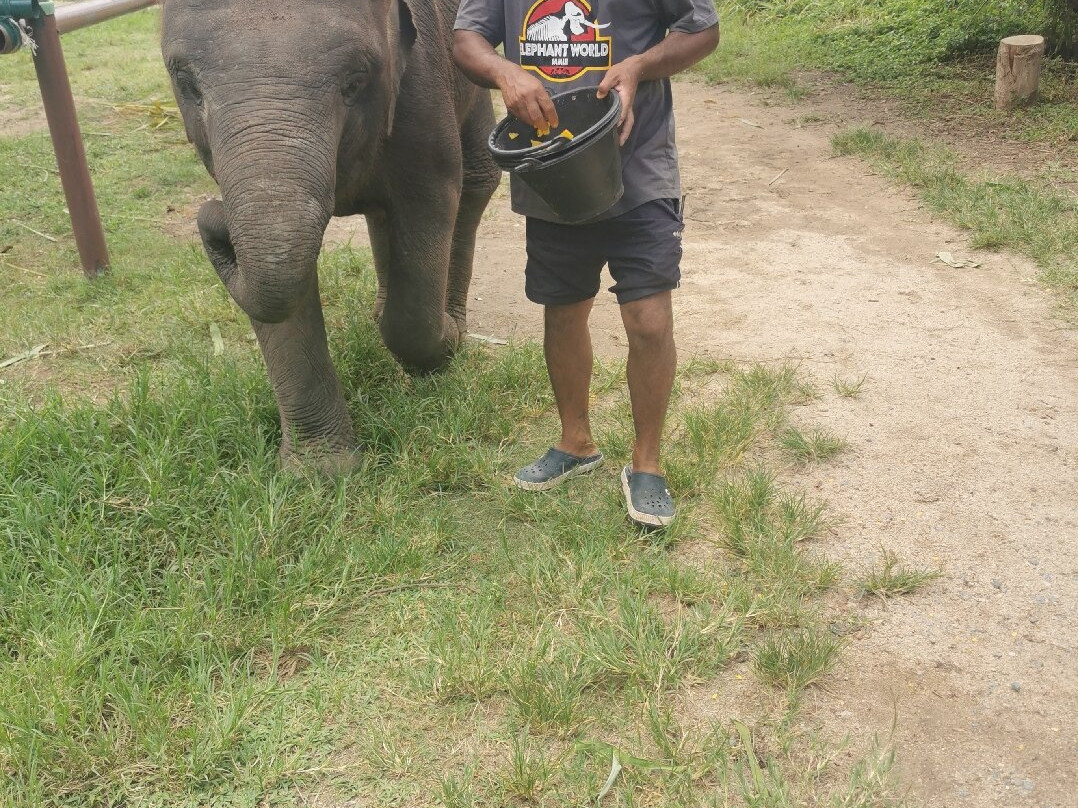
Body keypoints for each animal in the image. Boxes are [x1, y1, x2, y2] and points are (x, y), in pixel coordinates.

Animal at [161, 0, 500, 473]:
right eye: (186, 83)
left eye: (355, 81)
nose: (212, 215)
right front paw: (320, 473)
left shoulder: (423, 88)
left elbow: (431, 203)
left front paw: (445, 347)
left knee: (476, 183)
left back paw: (451, 322)